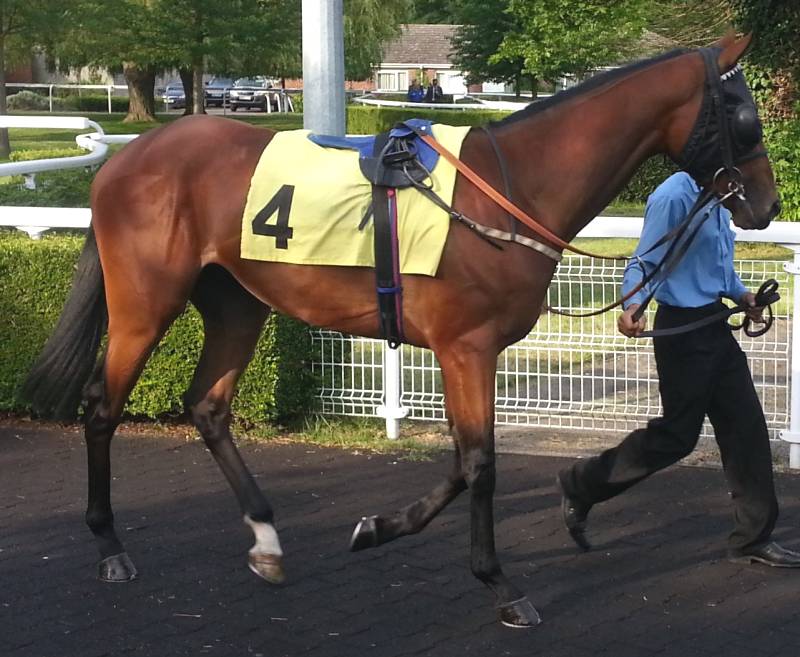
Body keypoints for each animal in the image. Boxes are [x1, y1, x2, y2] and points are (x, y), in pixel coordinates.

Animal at [23, 33, 780, 628]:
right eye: (745, 117)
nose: (768, 206)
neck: (511, 189)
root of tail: (127, 159)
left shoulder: (465, 352)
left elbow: (462, 461)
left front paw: (377, 527)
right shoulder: (466, 347)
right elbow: (478, 463)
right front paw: (499, 583)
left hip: (238, 302)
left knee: (208, 405)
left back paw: (267, 539)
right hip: (146, 301)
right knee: (102, 406)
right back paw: (111, 548)